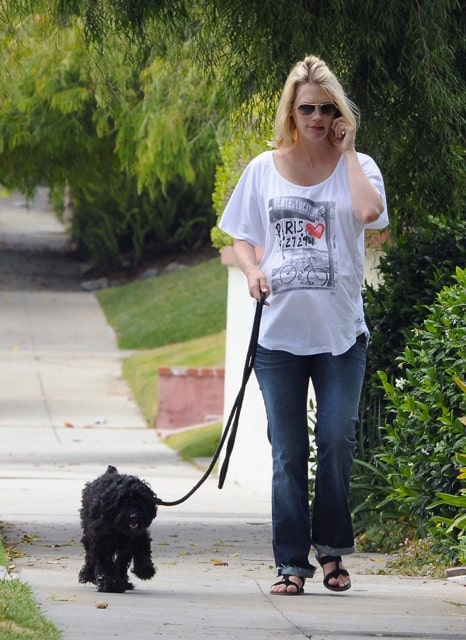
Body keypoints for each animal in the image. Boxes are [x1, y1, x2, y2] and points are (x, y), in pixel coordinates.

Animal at [78, 462, 158, 592]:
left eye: (142, 500)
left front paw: (144, 570)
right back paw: (88, 574)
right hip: (88, 534)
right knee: (90, 555)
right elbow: (107, 564)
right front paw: (112, 583)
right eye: (123, 501)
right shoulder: (101, 542)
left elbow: (140, 551)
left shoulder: (138, 536)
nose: (134, 516)